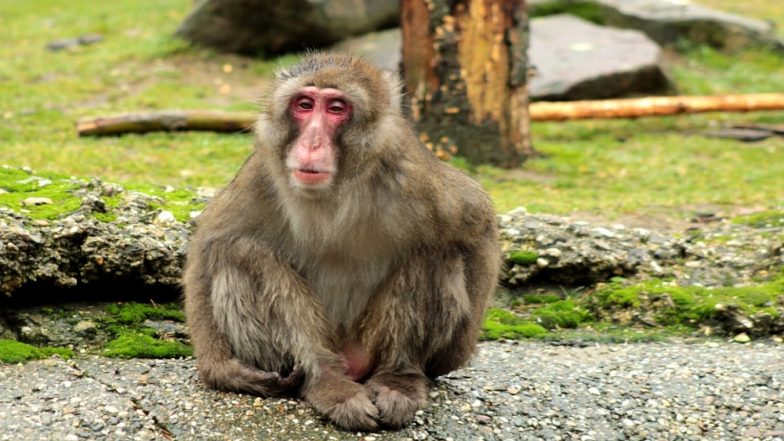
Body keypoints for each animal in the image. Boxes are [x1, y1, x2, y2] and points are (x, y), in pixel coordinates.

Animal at [183, 52, 500, 431]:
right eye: (304, 105)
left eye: (336, 108)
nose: (312, 143)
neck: (339, 189)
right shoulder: (261, 175)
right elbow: (213, 240)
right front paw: (222, 369)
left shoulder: (414, 175)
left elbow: (476, 223)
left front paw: (449, 358)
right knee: (241, 253)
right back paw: (326, 379)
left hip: (369, 343)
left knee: (436, 253)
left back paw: (399, 376)